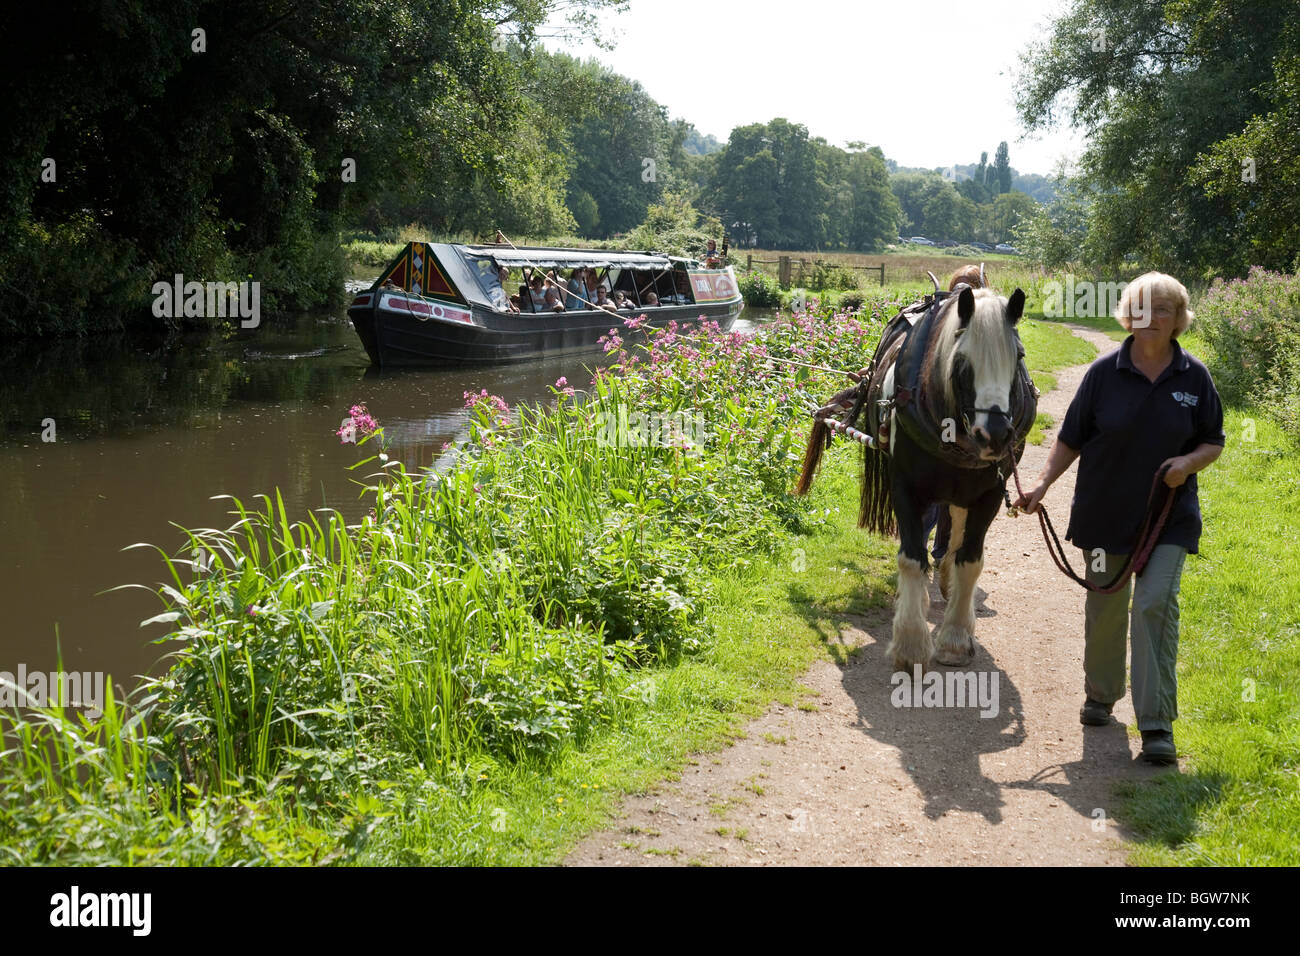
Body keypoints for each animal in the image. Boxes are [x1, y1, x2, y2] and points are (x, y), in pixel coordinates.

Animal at [797, 282, 1036, 671]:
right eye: (962, 361)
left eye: (1018, 357)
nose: (996, 434)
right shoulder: (906, 486)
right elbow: (911, 557)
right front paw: (910, 642)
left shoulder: (990, 493)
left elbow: (970, 560)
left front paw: (955, 638)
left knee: (954, 527)